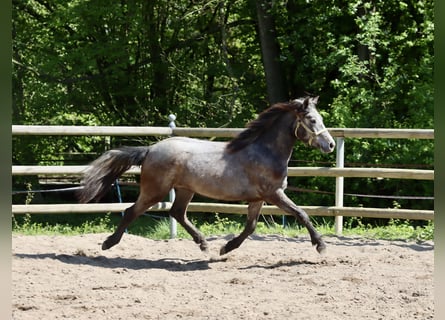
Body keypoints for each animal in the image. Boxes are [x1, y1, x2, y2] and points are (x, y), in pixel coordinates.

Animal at [79, 96, 332, 256]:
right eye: (312, 120)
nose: (329, 144)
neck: (265, 151)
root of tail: (150, 149)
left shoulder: (258, 198)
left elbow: (250, 227)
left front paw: (225, 248)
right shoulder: (274, 194)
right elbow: (301, 214)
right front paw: (320, 245)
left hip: (185, 190)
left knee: (177, 213)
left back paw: (203, 244)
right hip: (155, 191)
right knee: (132, 210)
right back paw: (108, 243)